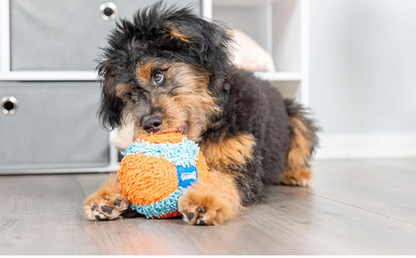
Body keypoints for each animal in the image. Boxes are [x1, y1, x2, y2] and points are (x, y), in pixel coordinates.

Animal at [83, 2, 320, 225]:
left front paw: (203, 200)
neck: (209, 124)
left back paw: (297, 173)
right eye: (130, 96)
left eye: (157, 75)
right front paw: (108, 197)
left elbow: (222, 180)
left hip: (298, 117)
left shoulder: (241, 164)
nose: (149, 124)